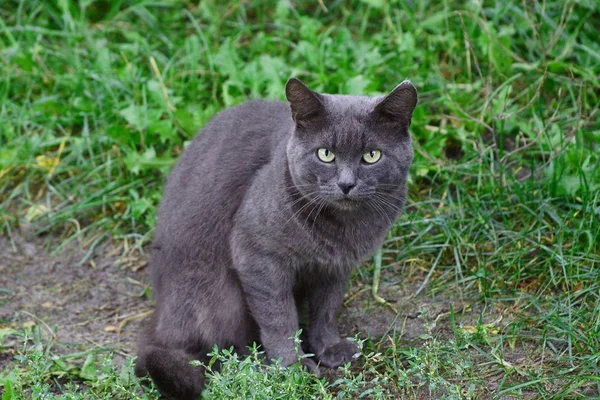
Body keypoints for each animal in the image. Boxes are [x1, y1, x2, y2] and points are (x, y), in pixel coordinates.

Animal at [135, 78, 418, 400]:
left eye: (372, 156)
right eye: (325, 154)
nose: (346, 184)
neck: (343, 229)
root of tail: (160, 322)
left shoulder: (334, 266)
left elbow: (327, 307)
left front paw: (330, 348)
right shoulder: (256, 254)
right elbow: (279, 317)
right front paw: (293, 369)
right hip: (219, 294)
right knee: (220, 348)